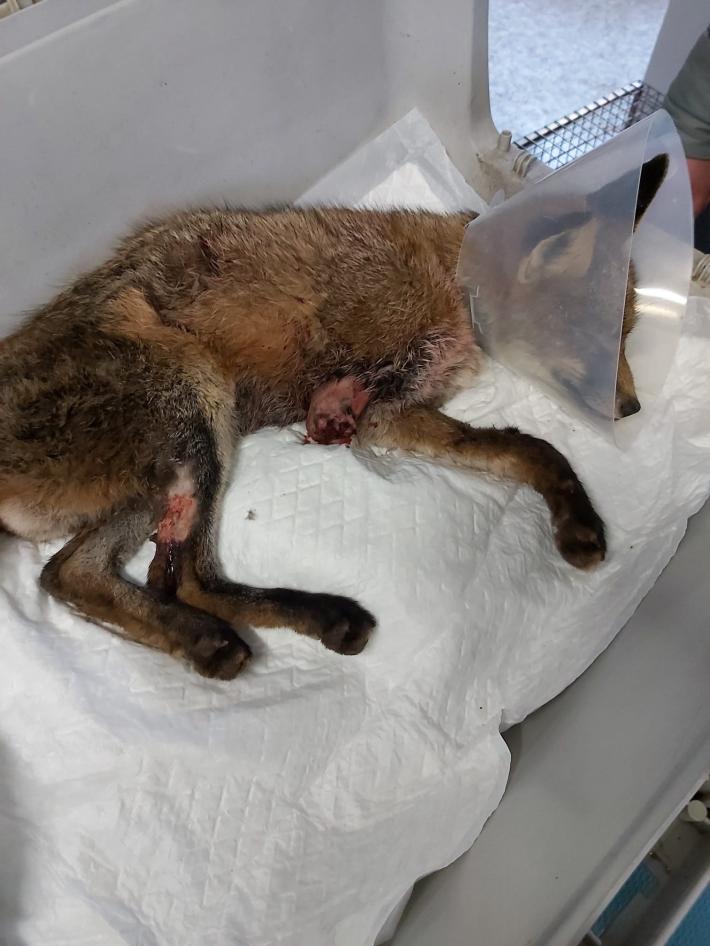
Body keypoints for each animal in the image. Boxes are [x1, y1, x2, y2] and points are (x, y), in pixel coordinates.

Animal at [0, 156, 667, 680]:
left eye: (629, 335)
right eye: (600, 339)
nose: (632, 409)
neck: (454, 283)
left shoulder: (395, 414)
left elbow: (529, 449)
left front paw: (576, 519)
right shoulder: (380, 399)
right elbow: (527, 444)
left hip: (163, 481)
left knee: (70, 574)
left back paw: (203, 642)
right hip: (199, 399)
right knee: (185, 578)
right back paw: (317, 618)